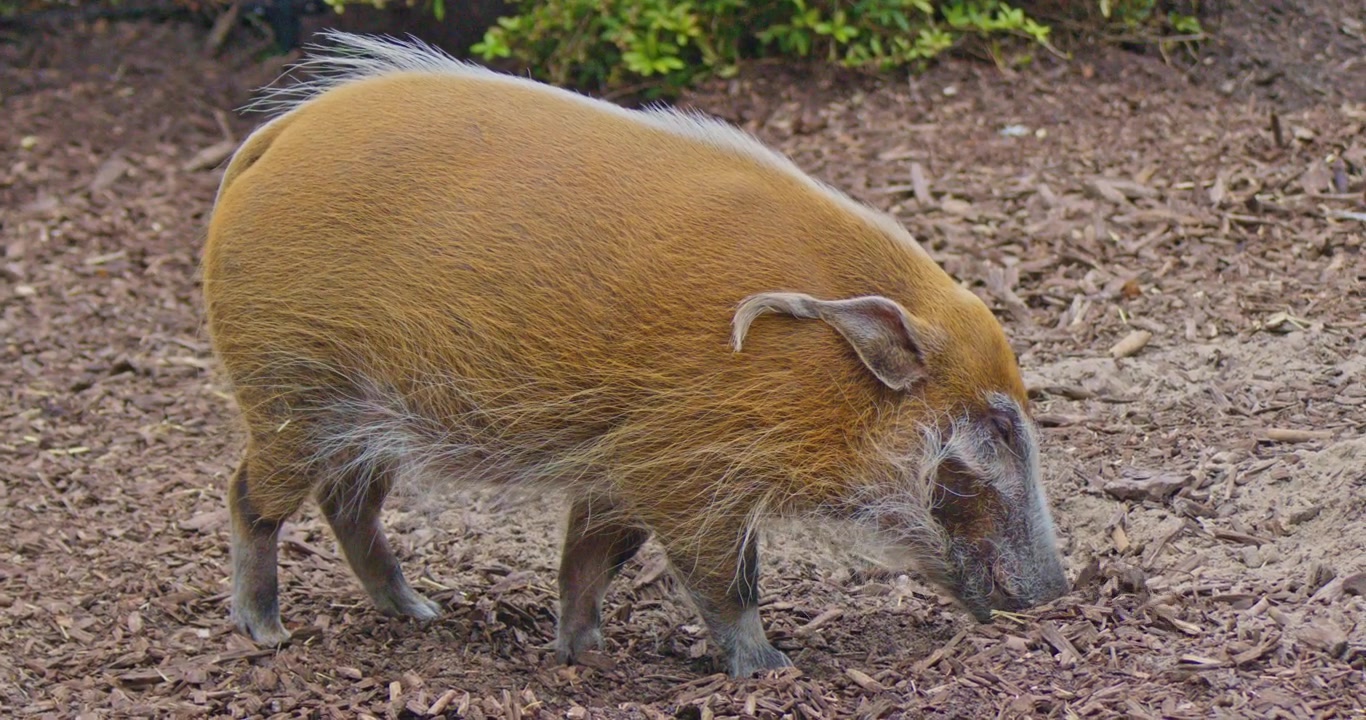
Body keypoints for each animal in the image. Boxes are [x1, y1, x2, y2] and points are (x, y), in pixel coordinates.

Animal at [202, 30, 1070, 678]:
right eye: (994, 429)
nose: (1057, 592)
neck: (819, 372)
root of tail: (267, 140)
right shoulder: (685, 469)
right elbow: (725, 578)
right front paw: (770, 669)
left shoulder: (620, 463)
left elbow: (592, 557)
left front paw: (586, 653)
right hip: (289, 393)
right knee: (250, 494)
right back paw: (264, 630)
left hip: (363, 420)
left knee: (349, 507)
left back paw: (419, 611)